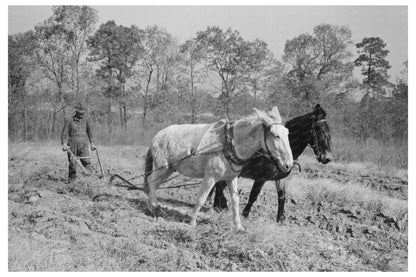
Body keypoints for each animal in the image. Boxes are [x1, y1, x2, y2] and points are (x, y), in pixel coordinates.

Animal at [143, 105, 292, 229]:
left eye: (287, 133)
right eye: (276, 136)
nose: (288, 165)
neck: (229, 143)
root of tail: (158, 135)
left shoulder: (231, 178)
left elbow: (235, 200)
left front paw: (238, 226)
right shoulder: (210, 177)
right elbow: (202, 197)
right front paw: (192, 222)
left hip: (169, 169)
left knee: (153, 184)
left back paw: (151, 207)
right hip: (161, 166)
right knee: (151, 181)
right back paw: (155, 207)